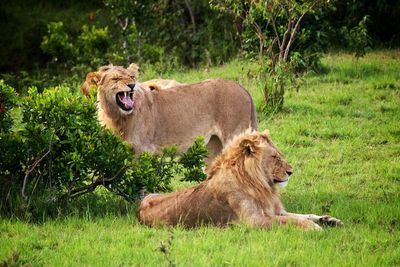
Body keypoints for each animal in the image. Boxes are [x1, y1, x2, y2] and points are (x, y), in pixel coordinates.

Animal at [81, 63, 258, 162]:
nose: (132, 85)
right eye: (116, 78)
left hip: (234, 136)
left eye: (132, 77)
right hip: (212, 147)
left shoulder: (142, 151)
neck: (117, 117)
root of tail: (243, 89)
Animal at [138, 130, 344, 230]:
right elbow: (292, 221)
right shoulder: (254, 221)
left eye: (280, 155)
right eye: (275, 157)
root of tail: (138, 210)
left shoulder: (276, 210)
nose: (291, 172)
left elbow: (302, 215)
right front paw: (315, 227)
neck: (260, 185)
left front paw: (329, 220)